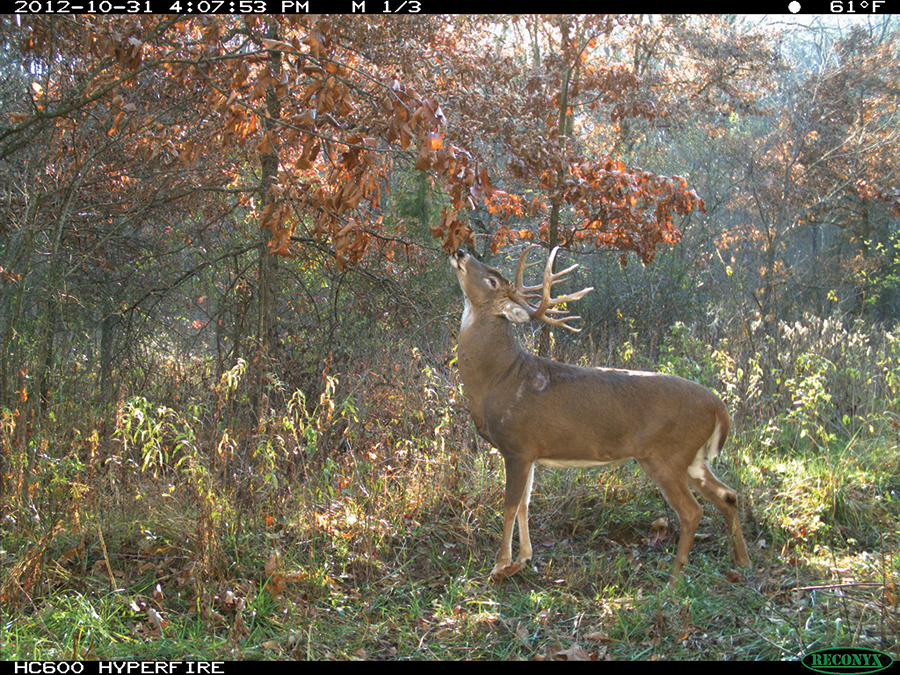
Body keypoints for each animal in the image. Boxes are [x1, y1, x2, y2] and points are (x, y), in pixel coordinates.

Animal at [450, 245, 751, 584]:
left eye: (491, 281)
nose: (460, 251)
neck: (498, 377)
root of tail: (719, 407)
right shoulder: (530, 454)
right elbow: (526, 503)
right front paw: (524, 558)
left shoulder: (517, 445)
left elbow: (510, 505)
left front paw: (500, 566)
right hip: (694, 457)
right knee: (728, 494)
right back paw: (742, 562)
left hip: (665, 454)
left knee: (691, 510)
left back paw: (674, 578)